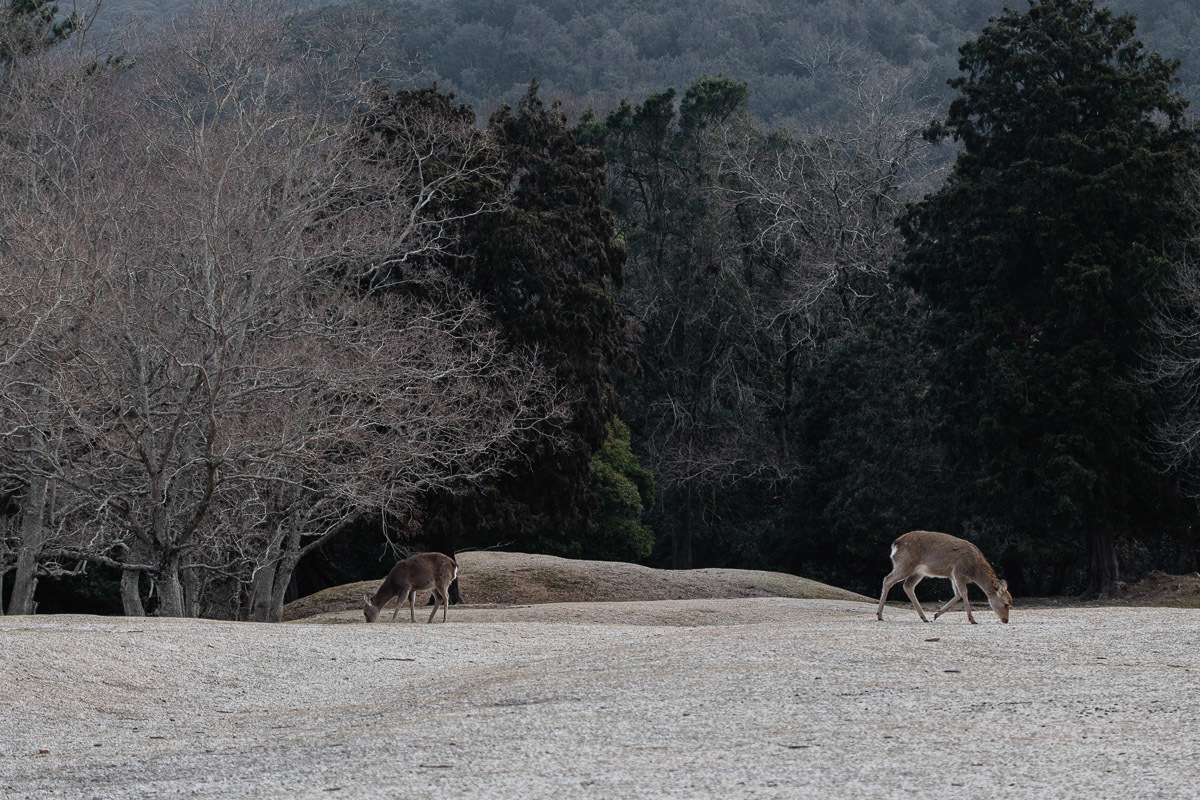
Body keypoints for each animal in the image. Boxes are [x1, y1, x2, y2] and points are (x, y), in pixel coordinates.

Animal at [873, 532, 1012, 623]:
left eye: (1010, 603)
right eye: (1006, 604)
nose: (1006, 620)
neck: (974, 571)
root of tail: (895, 545)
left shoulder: (952, 575)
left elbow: (957, 595)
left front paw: (936, 615)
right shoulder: (959, 572)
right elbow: (964, 593)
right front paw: (972, 619)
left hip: (918, 572)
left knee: (908, 586)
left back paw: (924, 618)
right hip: (905, 564)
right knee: (887, 579)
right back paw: (879, 615)